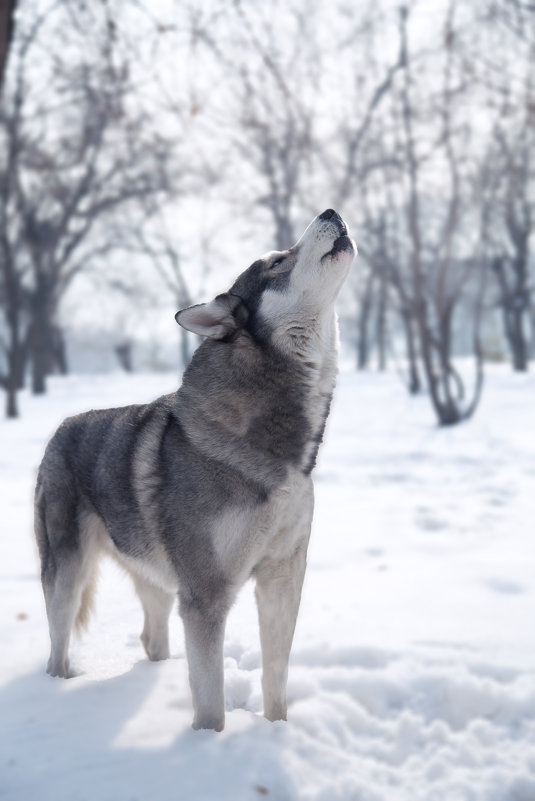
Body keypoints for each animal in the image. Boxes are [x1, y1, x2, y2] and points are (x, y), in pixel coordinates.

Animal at [33, 208, 356, 732]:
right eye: (277, 261)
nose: (330, 212)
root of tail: (63, 425)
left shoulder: (283, 579)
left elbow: (276, 680)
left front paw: (276, 732)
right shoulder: (206, 598)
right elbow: (211, 705)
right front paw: (209, 743)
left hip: (158, 584)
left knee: (152, 639)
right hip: (67, 575)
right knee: (57, 648)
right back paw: (60, 689)